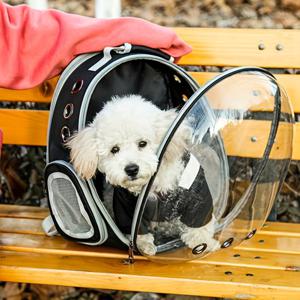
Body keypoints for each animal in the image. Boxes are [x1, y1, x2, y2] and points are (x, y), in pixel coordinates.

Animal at [67, 95, 219, 255]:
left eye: (142, 143)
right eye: (114, 149)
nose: (131, 169)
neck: (154, 183)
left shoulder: (198, 197)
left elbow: (200, 224)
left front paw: (204, 243)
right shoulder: (125, 206)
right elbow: (136, 229)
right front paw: (143, 246)